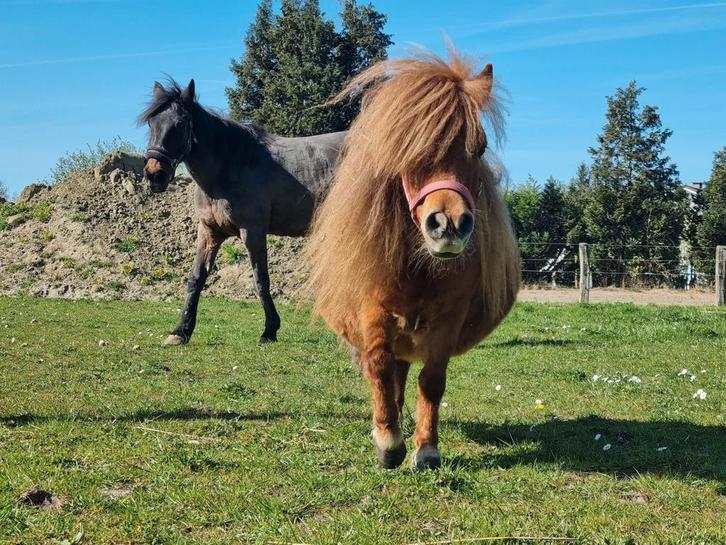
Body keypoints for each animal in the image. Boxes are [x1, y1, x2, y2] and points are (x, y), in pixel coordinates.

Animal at [138, 79, 346, 344]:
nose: (155, 175)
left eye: (181, 124)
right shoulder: (209, 231)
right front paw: (180, 331)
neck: (230, 167)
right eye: (151, 123)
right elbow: (196, 278)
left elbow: (260, 279)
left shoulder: (253, 231)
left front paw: (269, 330)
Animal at [304, 49, 520, 470]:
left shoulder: (449, 319)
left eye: (480, 148)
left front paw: (426, 448)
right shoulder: (372, 310)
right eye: (410, 149)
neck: (420, 270)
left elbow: (432, 380)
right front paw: (388, 442)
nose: (449, 224)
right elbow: (379, 367)